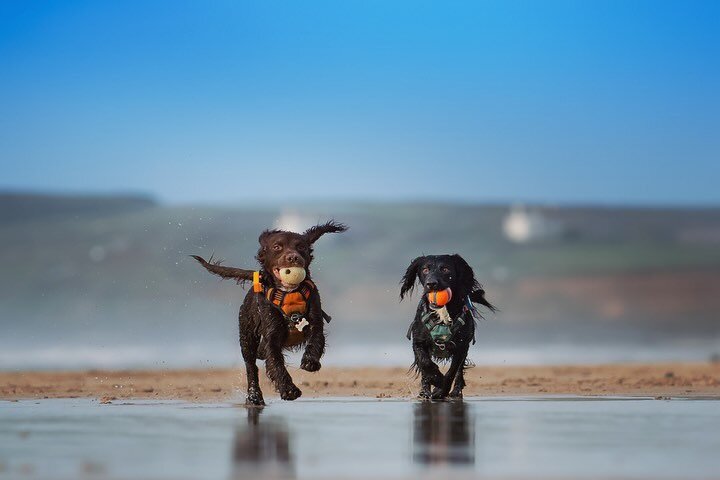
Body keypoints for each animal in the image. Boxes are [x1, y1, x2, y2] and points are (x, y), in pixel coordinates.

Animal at [193, 221, 348, 404]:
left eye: (301, 247)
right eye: (277, 247)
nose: (293, 257)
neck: (289, 294)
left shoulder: (315, 318)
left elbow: (316, 339)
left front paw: (310, 361)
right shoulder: (271, 335)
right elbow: (275, 362)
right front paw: (289, 390)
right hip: (246, 335)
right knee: (251, 366)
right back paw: (254, 396)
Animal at [400, 255, 496, 402]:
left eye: (445, 269)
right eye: (425, 269)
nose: (431, 284)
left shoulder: (461, 346)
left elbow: (453, 371)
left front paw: (441, 390)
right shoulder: (418, 342)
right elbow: (425, 363)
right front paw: (436, 380)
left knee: (459, 373)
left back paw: (455, 392)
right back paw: (425, 393)